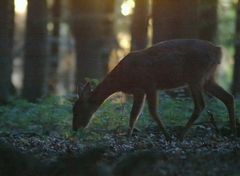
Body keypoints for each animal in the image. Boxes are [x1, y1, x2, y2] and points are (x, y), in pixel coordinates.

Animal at [71, 38, 236, 140]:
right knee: (228, 97)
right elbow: (135, 114)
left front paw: (166, 136)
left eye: (77, 110)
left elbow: (149, 112)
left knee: (200, 104)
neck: (121, 80)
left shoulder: (149, 85)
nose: (74, 129)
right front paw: (128, 134)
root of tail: (218, 50)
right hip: (207, 78)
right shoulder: (140, 90)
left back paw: (180, 135)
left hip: (195, 77)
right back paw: (231, 131)